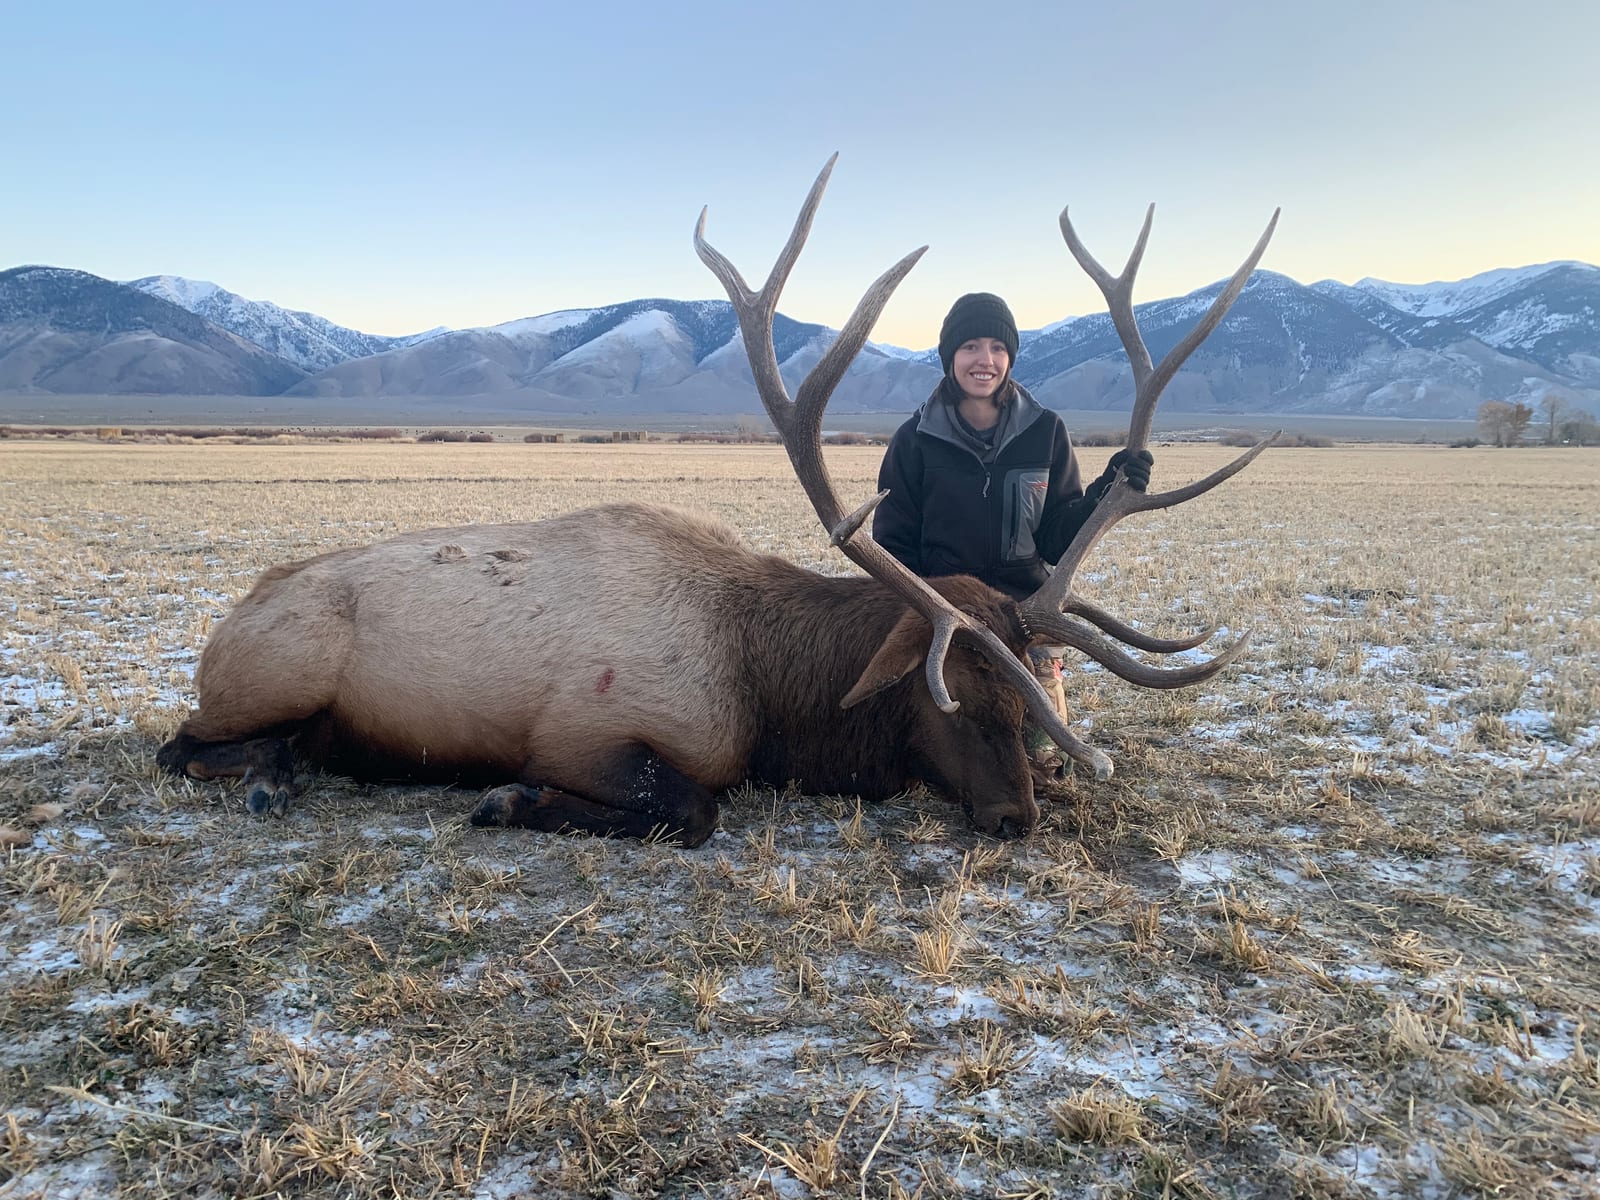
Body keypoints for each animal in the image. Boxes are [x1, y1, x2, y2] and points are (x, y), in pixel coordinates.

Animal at [156, 157, 1278, 845]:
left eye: (1027, 701)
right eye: (948, 691)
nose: (1018, 815)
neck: (770, 692)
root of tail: (233, 616)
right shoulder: (590, 733)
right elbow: (689, 809)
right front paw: (506, 801)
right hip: (275, 671)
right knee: (180, 742)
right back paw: (268, 777)